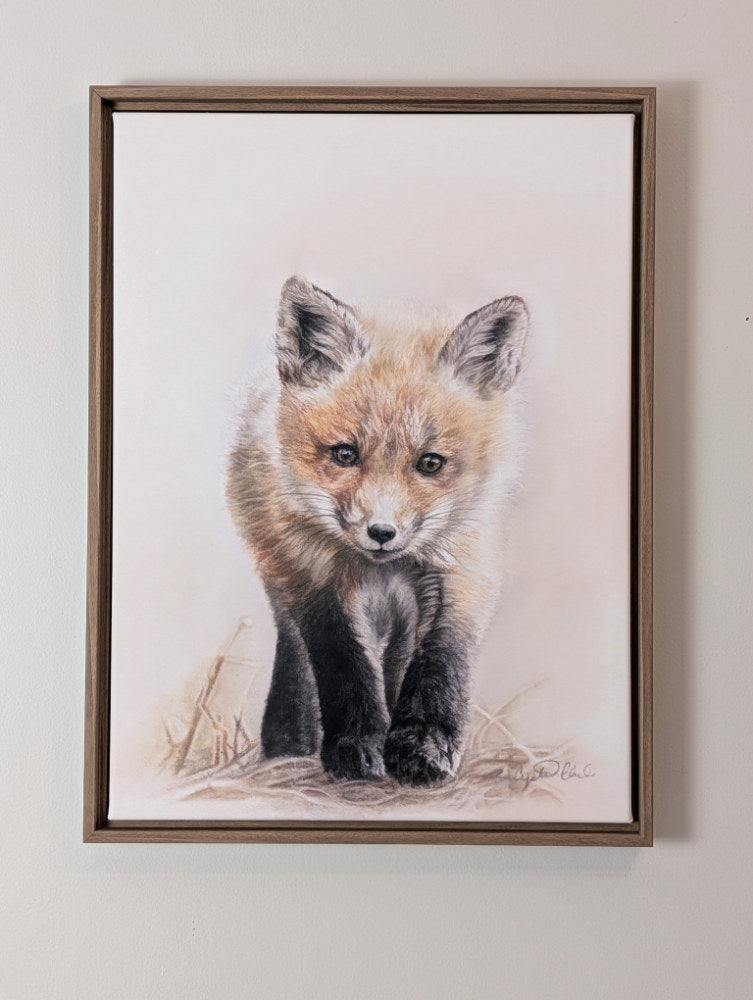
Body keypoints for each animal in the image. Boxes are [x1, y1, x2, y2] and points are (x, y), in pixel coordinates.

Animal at [226, 276, 529, 786]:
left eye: (431, 463)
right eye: (344, 454)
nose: (382, 532)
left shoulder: (464, 568)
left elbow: (439, 662)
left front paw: (422, 746)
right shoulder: (317, 578)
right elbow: (343, 663)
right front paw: (357, 745)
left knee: (398, 658)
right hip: (281, 565)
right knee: (296, 650)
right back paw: (291, 739)